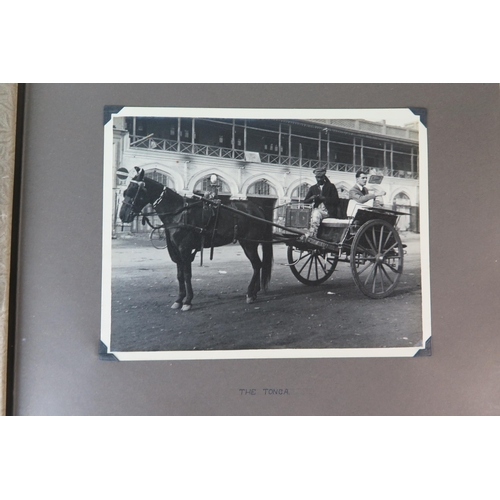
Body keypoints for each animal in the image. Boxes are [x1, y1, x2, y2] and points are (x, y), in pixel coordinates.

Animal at [118, 166, 274, 310]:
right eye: (125, 191)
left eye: (134, 191)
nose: (122, 215)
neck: (178, 213)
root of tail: (257, 208)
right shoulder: (176, 250)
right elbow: (180, 275)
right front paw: (179, 300)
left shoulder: (185, 249)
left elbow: (187, 274)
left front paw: (187, 301)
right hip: (247, 243)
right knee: (258, 265)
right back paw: (254, 292)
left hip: (249, 244)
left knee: (257, 265)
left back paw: (250, 294)